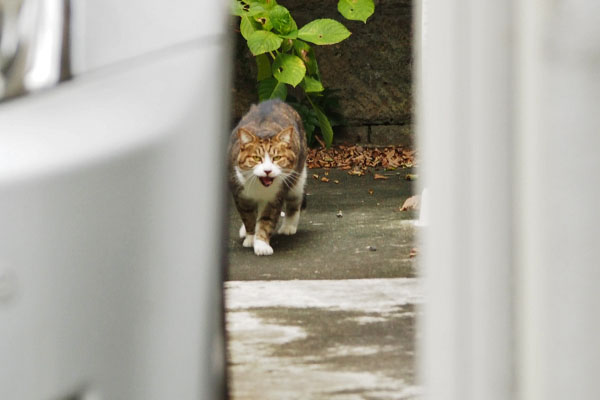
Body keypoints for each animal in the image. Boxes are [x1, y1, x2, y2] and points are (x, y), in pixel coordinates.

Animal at [227, 100, 308, 256]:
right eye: (256, 158)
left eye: (277, 158)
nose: (268, 170)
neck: (259, 186)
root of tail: (276, 100)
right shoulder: (240, 196)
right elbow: (248, 217)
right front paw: (250, 237)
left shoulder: (274, 198)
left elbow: (266, 221)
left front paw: (261, 244)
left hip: (297, 177)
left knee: (295, 200)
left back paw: (289, 226)